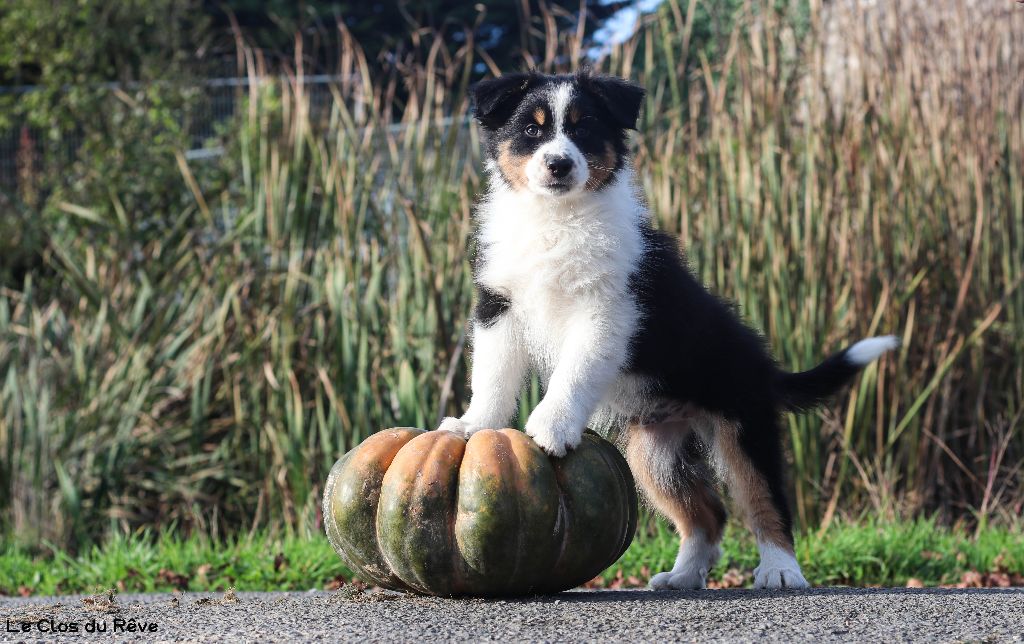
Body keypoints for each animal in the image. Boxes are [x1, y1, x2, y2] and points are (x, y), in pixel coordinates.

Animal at [436, 69, 901, 589]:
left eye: (584, 127)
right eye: (532, 130)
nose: (559, 164)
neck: (557, 218)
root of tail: (765, 364)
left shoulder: (607, 312)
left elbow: (573, 373)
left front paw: (551, 428)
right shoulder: (500, 306)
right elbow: (492, 376)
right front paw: (474, 425)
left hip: (743, 423)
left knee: (765, 501)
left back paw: (780, 571)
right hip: (654, 450)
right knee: (708, 515)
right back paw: (682, 576)